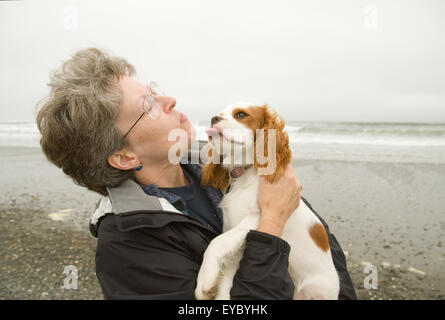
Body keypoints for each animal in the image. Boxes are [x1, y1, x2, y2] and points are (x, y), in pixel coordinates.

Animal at [195, 102, 340, 300]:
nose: (213, 118)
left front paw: (205, 279)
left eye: (241, 114)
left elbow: (218, 242)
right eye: (220, 113)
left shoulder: (255, 218)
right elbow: (227, 280)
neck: (245, 174)